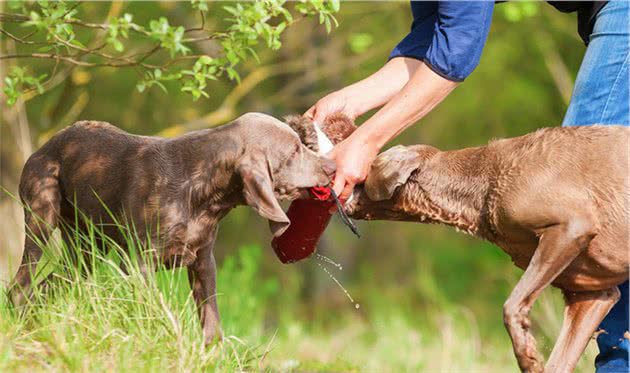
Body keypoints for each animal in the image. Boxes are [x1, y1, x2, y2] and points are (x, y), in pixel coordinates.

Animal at [7, 112, 338, 344]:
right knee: (20, 286)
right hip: (42, 215)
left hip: (85, 251)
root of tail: (49, 142)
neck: (203, 197)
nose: (332, 167)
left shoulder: (204, 262)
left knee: (47, 286)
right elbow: (155, 313)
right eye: (293, 152)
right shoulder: (139, 264)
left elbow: (212, 325)